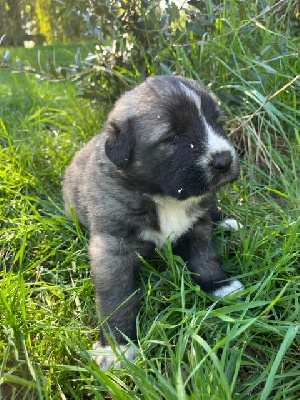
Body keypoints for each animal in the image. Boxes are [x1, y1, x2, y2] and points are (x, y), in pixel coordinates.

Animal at [63, 76, 244, 372]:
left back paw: (225, 222)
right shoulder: (113, 247)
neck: (162, 196)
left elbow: (205, 258)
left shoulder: (197, 226)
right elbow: (117, 297)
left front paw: (219, 285)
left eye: (217, 122)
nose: (224, 160)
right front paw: (115, 347)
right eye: (172, 137)